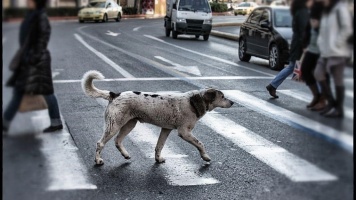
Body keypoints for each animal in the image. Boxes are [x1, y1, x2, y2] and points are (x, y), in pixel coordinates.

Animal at [82, 70, 235, 166]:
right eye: (222, 97)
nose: (233, 102)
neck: (194, 101)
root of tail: (114, 95)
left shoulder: (166, 129)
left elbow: (159, 146)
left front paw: (158, 159)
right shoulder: (184, 132)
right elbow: (200, 143)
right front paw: (205, 157)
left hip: (129, 124)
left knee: (118, 141)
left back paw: (125, 155)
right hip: (114, 125)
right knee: (100, 143)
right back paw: (98, 160)